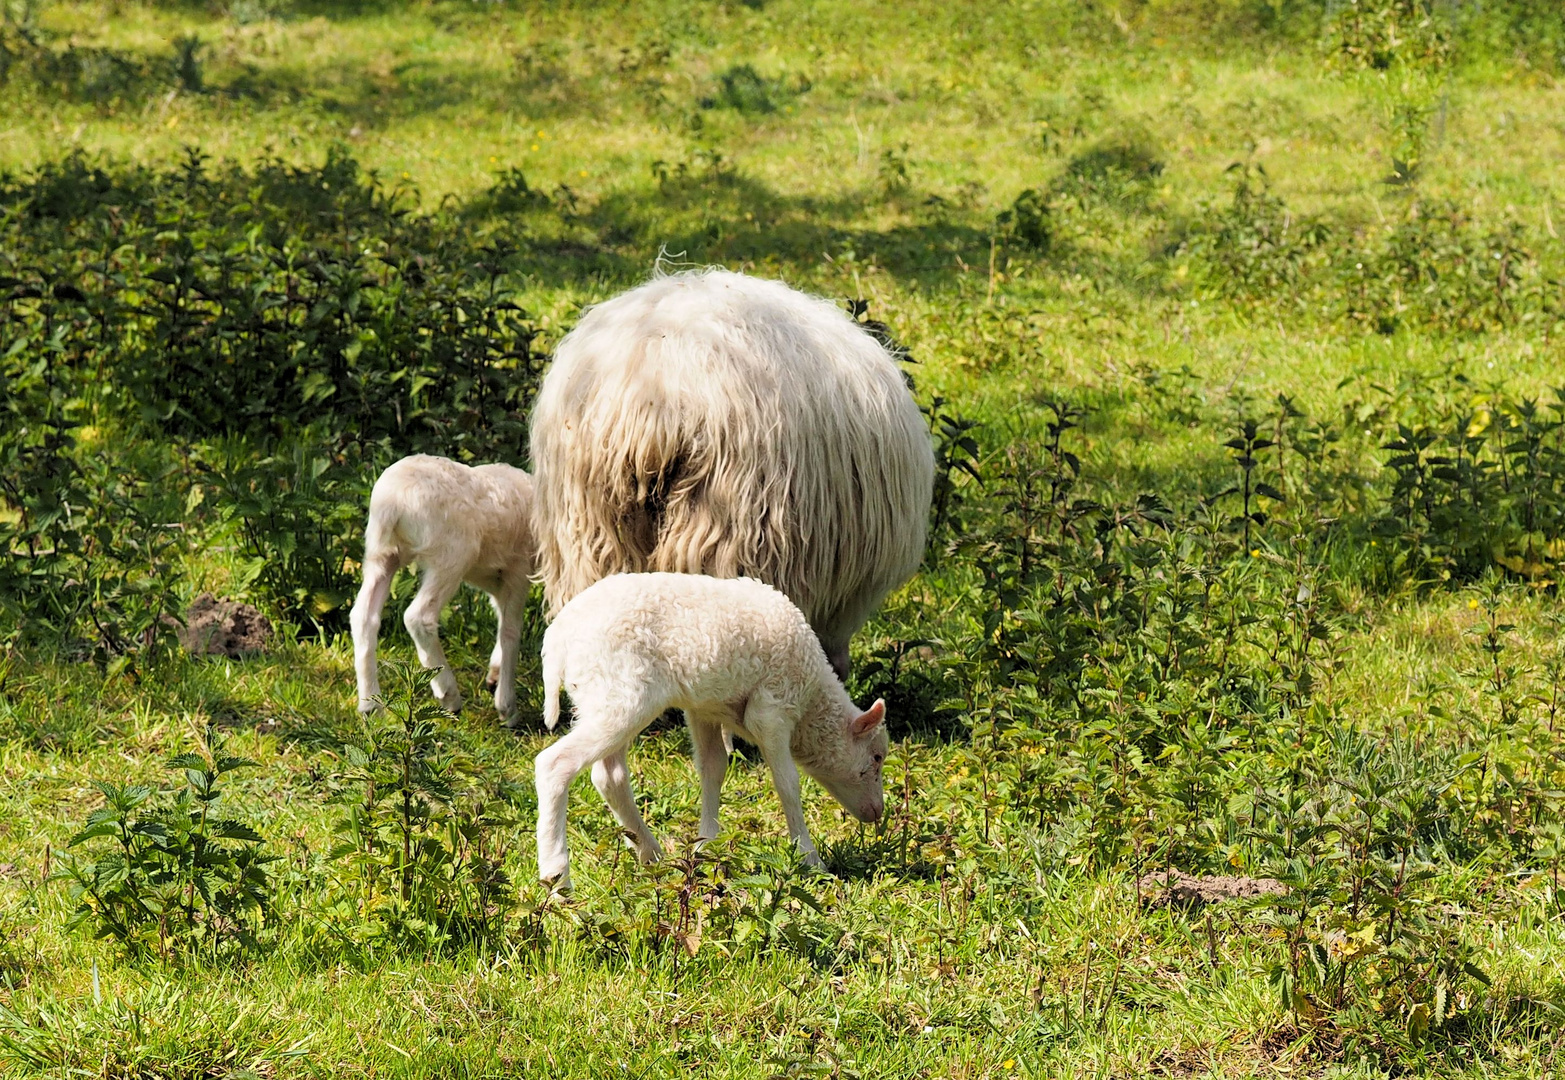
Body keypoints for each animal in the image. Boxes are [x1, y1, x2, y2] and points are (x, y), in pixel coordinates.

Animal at [350, 450, 538, 713]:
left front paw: (495, 676)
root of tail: (392, 502)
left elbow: (502, 618)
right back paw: (448, 694)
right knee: (418, 618)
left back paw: (370, 703)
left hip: (382, 553)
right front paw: (506, 704)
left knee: (363, 616)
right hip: (450, 554)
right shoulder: (518, 569)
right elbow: (511, 629)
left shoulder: (493, 577)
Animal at [532, 566, 888, 889]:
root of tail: (556, 640)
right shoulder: (772, 708)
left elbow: (713, 769)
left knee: (610, 777)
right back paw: (557, 878)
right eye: (876, 758)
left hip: (602, 698)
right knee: (555, 764)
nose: (877, 812)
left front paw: (706, 847)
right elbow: (788, 784)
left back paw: (650, 853)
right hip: (621, 693)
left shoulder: (703, 708)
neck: (812, 702)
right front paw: (810, 858)